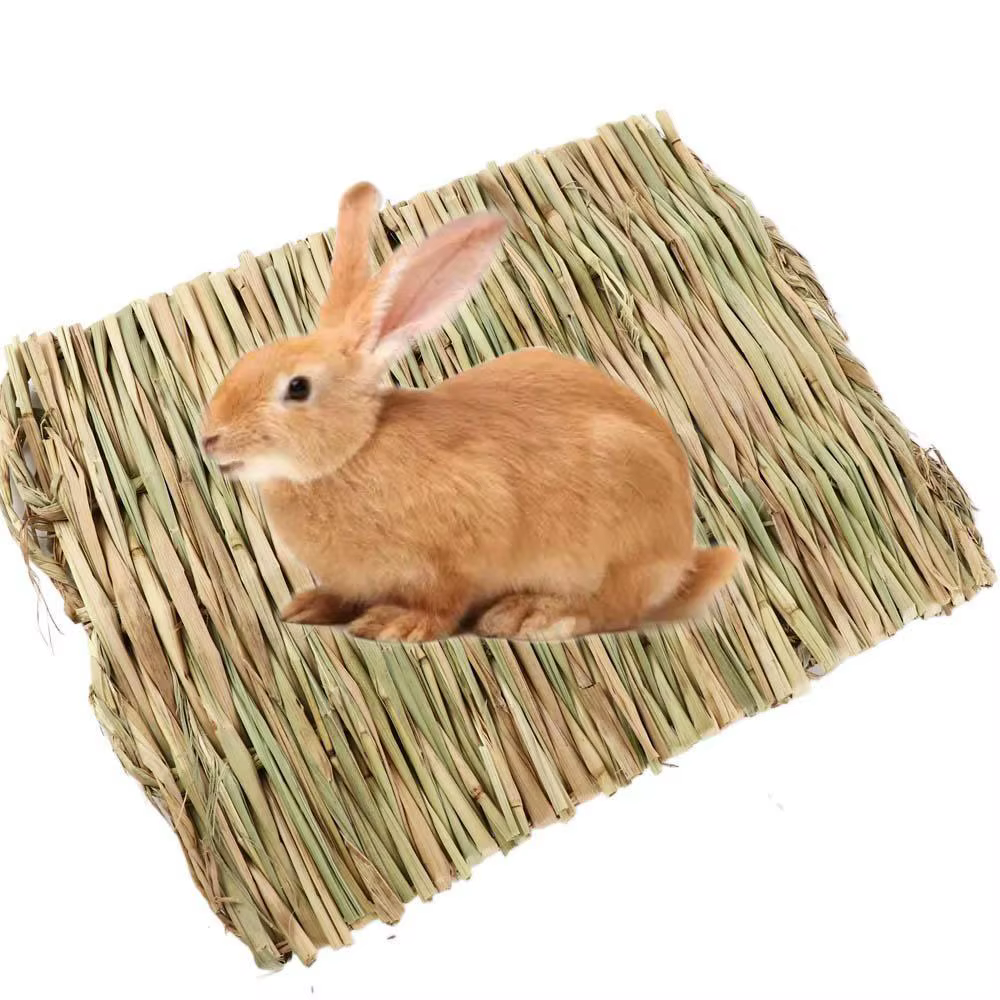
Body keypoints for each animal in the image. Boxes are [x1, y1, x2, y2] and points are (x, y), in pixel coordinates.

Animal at [200, 181, 740, 642]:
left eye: (297, 388)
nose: (209, 440)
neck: (354, 452)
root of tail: (682, 552)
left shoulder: (459, 552)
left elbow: (444, 601)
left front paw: (399, 624)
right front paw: (311, 606)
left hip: (618, 531)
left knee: (614, 606)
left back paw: (535, 615)